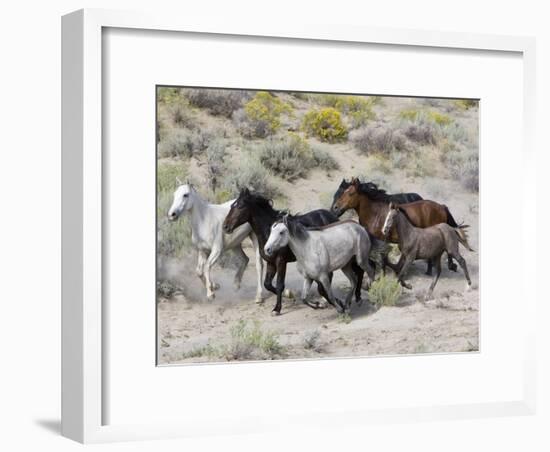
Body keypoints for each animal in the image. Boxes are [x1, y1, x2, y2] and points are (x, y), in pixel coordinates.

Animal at [222, 187, 368, 314]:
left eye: (240, 206)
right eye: (232, 206)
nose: (225, 227)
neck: (268, 231)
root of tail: (332, 215)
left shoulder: (281, 262)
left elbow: (279, 284)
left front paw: (277, 308)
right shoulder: (271, 263)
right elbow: (268, 284)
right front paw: (290, 295)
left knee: (357, 271)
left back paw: (355, 298)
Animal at [332, 178, 466, 274]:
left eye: (350, 193)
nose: (335, 208)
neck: (375, 213)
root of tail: (441, 207)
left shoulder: (381, 241)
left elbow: (382, 260)